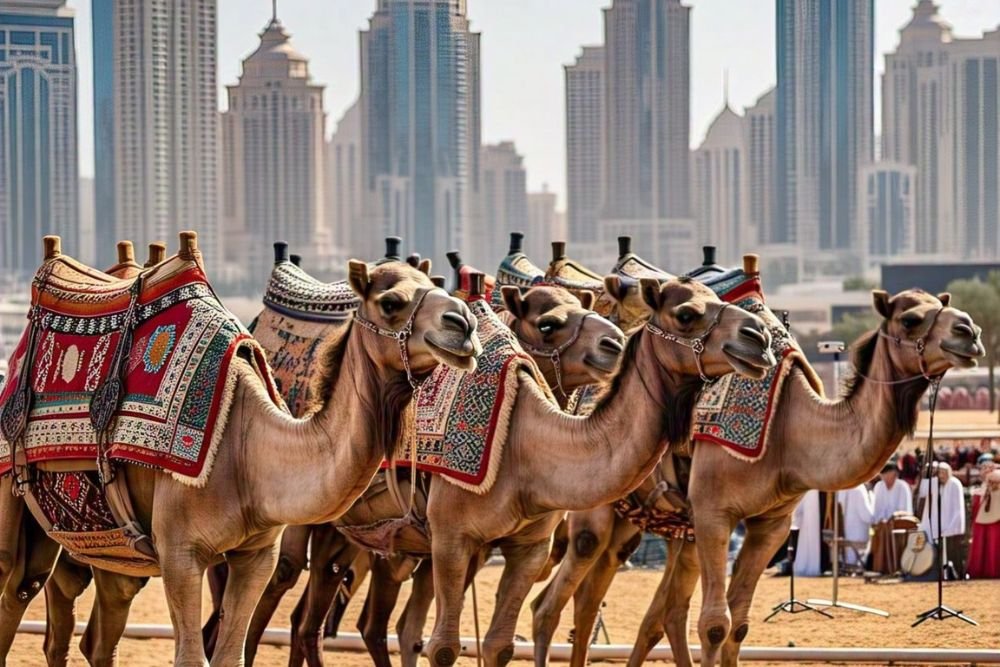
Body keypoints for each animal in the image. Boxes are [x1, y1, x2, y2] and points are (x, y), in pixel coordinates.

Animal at [0, 248, 481, 667]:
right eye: (390, 302)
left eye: (433, 285)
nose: (463, 324)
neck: (249, 455)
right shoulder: (180, 553)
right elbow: (191, 657)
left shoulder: (256, 554)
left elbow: (231, 655)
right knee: (15, 589)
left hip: (112, 550)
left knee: (81, 624)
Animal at [532, 288, 984, 667]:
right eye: (911, 318)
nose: (970, 331)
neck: (790, 427)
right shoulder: (715, 514)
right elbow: (716, 624)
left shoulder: (772, 523)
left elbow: (740, 624)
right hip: (597, 512)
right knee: (553, 603)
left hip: (647, 522)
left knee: (625, 608)